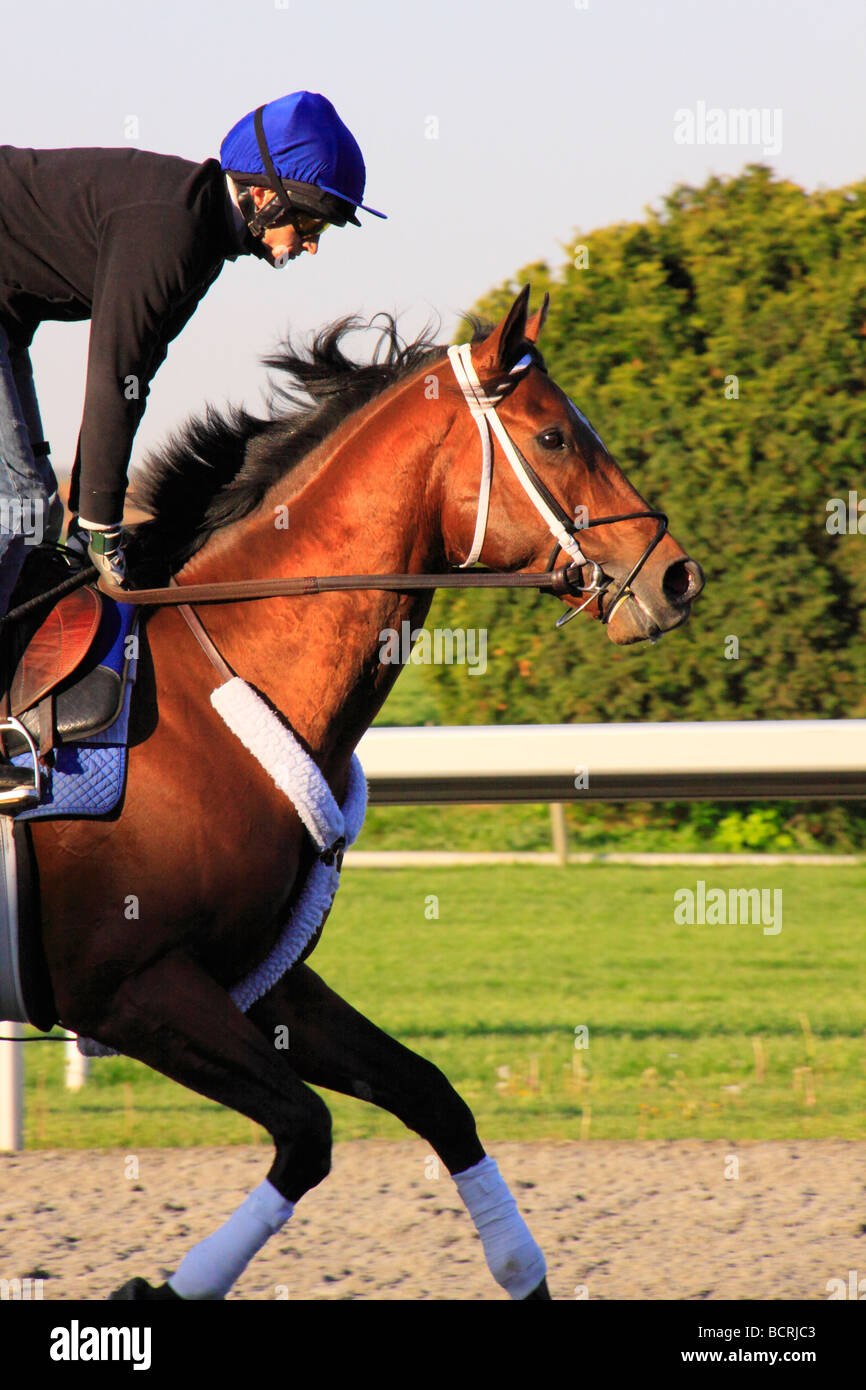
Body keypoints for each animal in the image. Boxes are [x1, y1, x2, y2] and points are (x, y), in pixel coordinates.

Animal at [23, 287, 706, 1295]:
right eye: (553, 436)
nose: (676, 575)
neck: (195, 689)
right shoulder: (127, 987)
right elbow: (309, 1132)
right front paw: (151, 1286)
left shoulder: (252, 977)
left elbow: (434, 1096)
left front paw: (524, 1268)